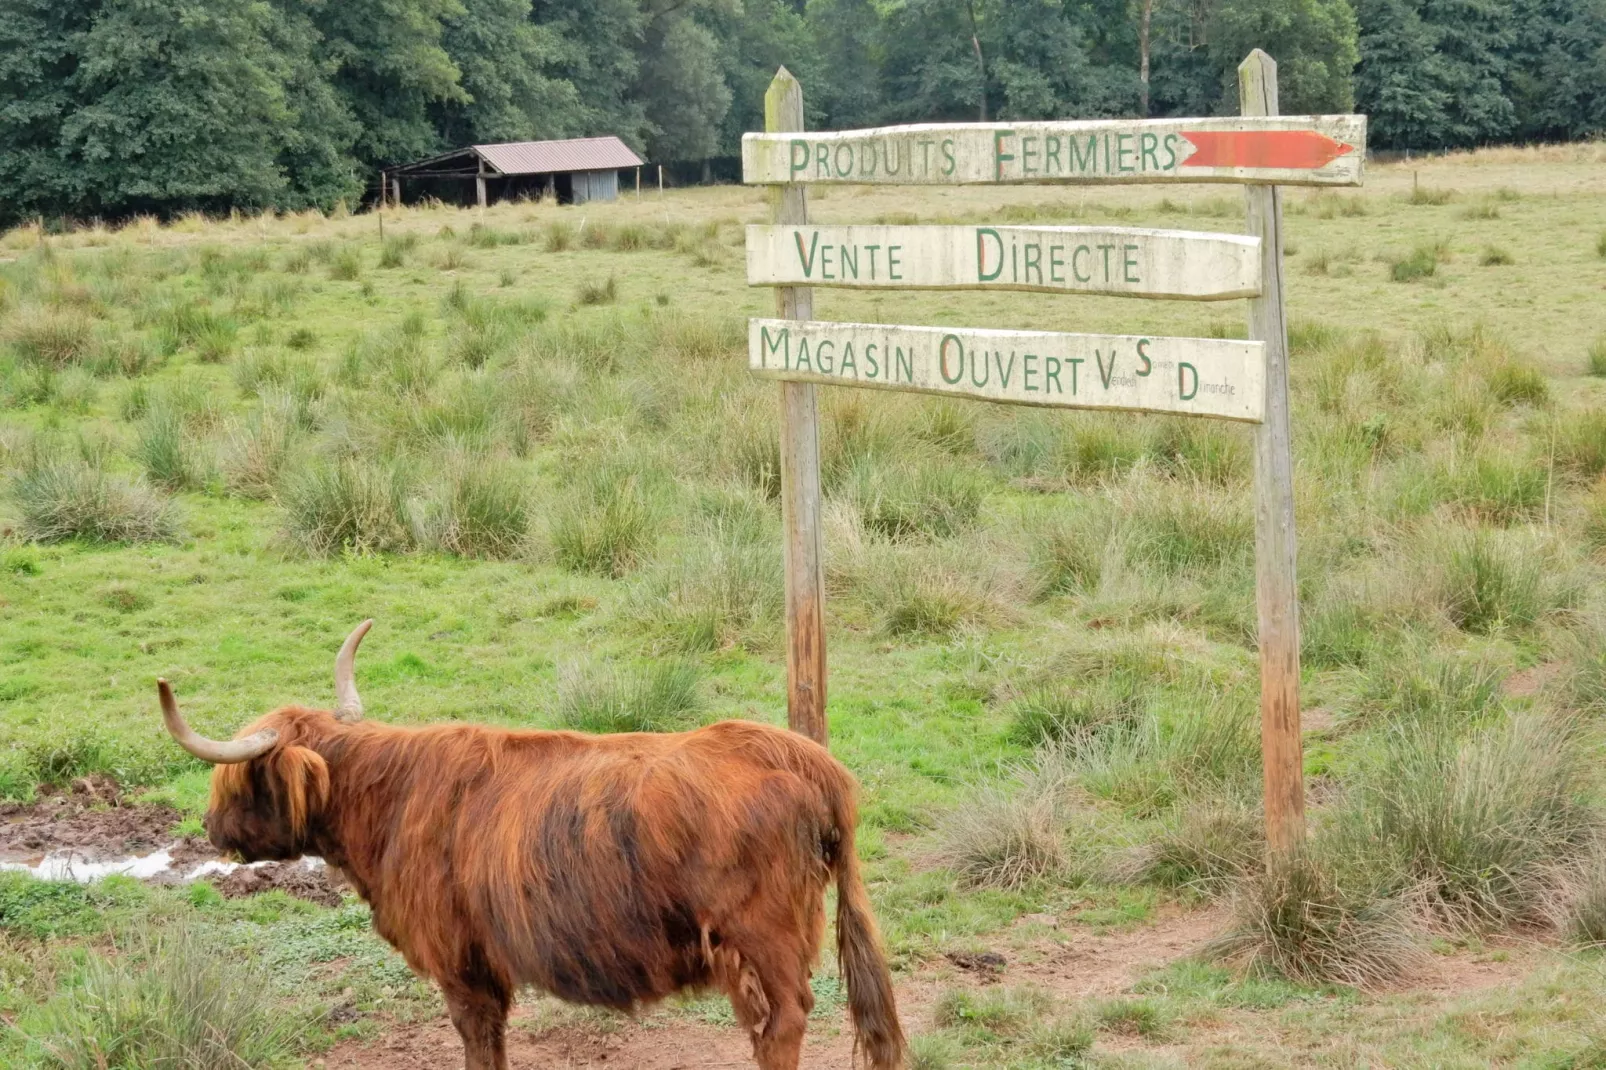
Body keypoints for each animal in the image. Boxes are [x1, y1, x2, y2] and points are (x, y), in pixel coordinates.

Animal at [156, 620, 912, 1066]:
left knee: (781, 1023)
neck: (389, 800)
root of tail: (801, 756)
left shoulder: (461, 964)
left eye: (236, 781)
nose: (212, 829)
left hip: (763, 937)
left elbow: (478, 1044)